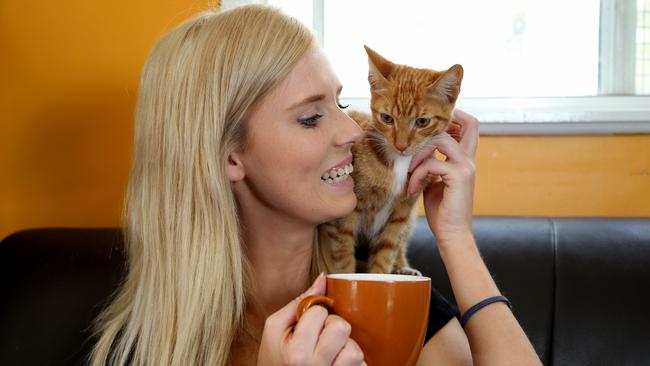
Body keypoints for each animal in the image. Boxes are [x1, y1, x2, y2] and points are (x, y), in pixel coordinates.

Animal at [318, 45, 460, 274]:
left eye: (422, 122)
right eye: (387, 118)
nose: (401, 146)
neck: (398, 164)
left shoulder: (401, 213)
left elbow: (387, 252)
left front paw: (380, 275)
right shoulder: (344, 216)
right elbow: (344, 256)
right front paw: (348, 278)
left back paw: (403, 267)